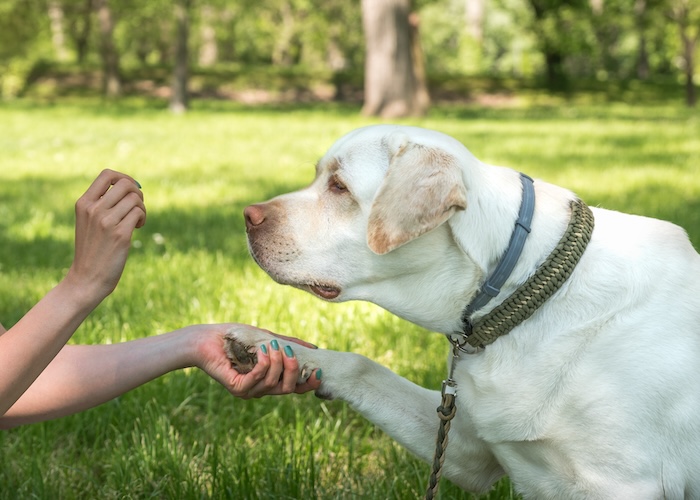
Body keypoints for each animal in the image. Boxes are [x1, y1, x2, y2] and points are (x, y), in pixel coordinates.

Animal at [224, 126, 700, 500]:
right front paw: (264, 345)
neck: (520, 290)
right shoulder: (471, 451)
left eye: (339, 187)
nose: (246, 215)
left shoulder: (620, 484)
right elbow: (361, 366)